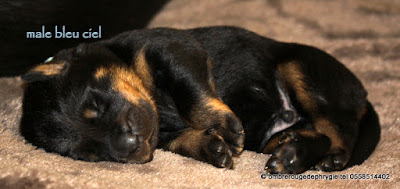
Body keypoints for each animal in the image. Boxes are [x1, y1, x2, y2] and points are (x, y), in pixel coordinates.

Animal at [20, 25, 380, 173]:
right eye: (90, 154)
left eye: (94, 103)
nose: (127, 145)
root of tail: (361, 94)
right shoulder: (164, 136)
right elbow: (184, 140)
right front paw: (212, 147)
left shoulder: (173, 51)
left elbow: (190, 92)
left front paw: (224, 126)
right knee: (317, 131)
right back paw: (291, 152)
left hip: (301, 69)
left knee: (338, 127)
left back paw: (330, 157)